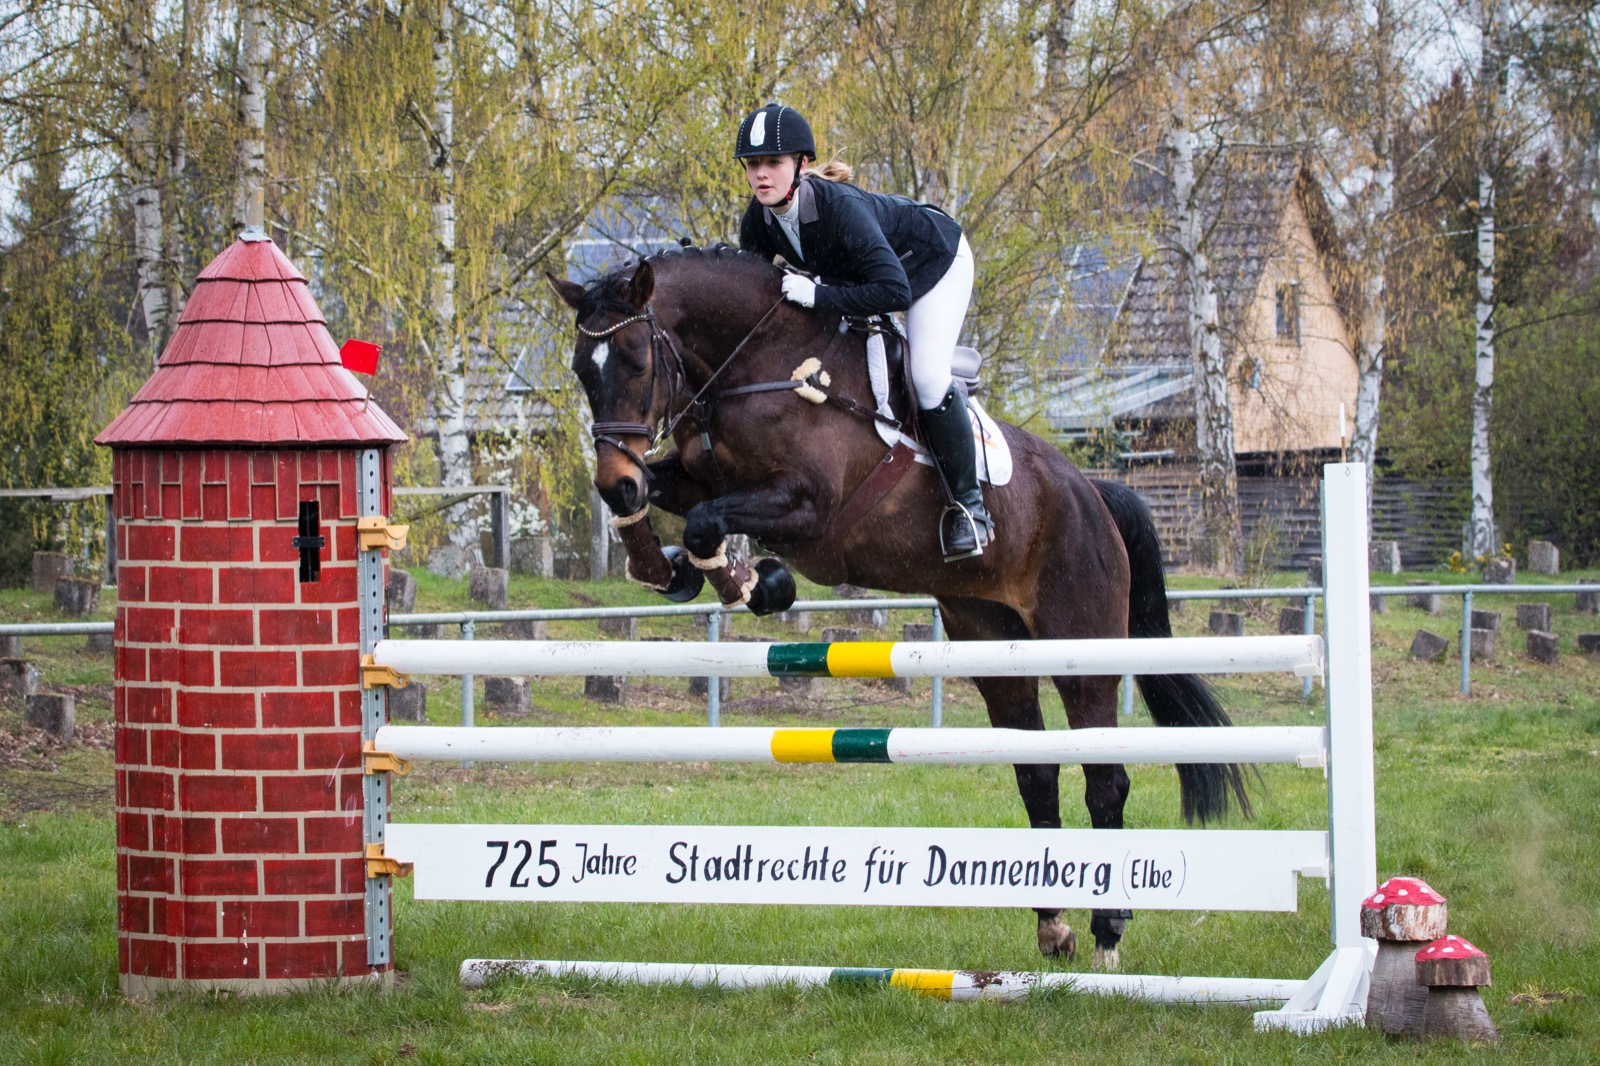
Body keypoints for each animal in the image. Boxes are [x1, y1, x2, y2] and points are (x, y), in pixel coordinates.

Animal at [546, 245, 1250, 969]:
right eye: (581, 368)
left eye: (636, 358)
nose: (614, 477)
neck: (754, 367)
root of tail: (1093, 493)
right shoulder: (694, 476)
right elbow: (673, 504)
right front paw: (666, 568)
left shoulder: (809, 507)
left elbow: (705, 522)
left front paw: (757, 584)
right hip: (993, 643)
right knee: (1036, 772)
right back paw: (1053, 926)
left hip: (1082, 648)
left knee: (1104, 779)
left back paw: (1108, 932)